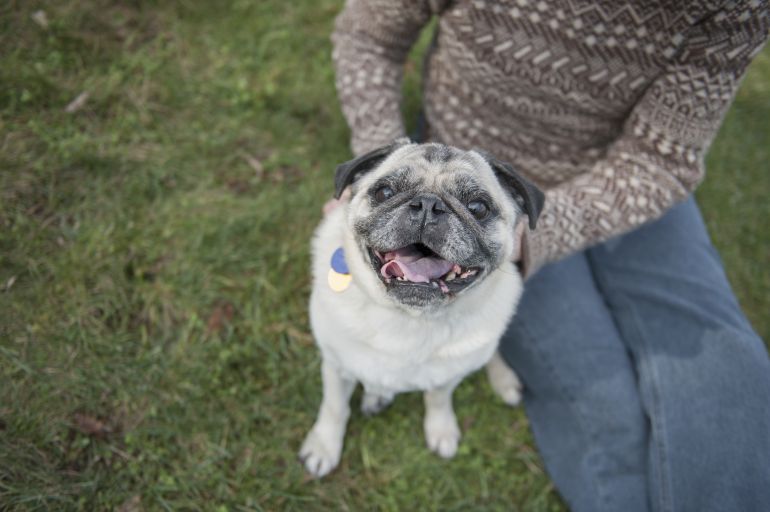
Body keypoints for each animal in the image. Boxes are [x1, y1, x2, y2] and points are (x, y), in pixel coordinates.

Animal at [296, 139, 544, 476]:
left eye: (478, 208)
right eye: (384, 192)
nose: (428, 204)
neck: (411, 317)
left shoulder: (448, 377)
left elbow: (437, 399)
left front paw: (441, 430)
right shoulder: (336, 364)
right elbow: (334, 407)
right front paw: (324, 445)